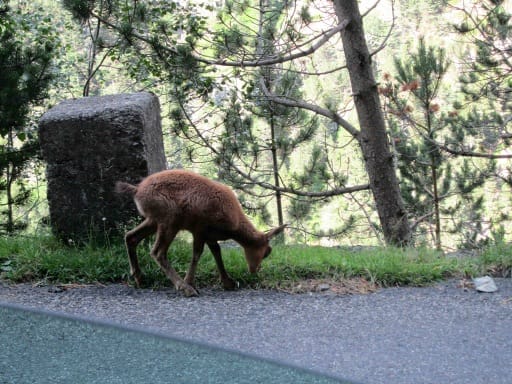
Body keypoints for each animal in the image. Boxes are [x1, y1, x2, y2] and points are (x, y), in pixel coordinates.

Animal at [114, 169, 286, 296]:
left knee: (131, 237)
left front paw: (228, 282)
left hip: (153, 220)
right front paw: (190, 282)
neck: (234, 223)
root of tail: (137, 190)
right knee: (157, 252)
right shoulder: (200, 228)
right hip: (169, 219)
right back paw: (184, 288)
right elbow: (197, 253)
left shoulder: (210, 235)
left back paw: (139, 279)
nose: (255, 270)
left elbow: (217, 252)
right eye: (267, 252)